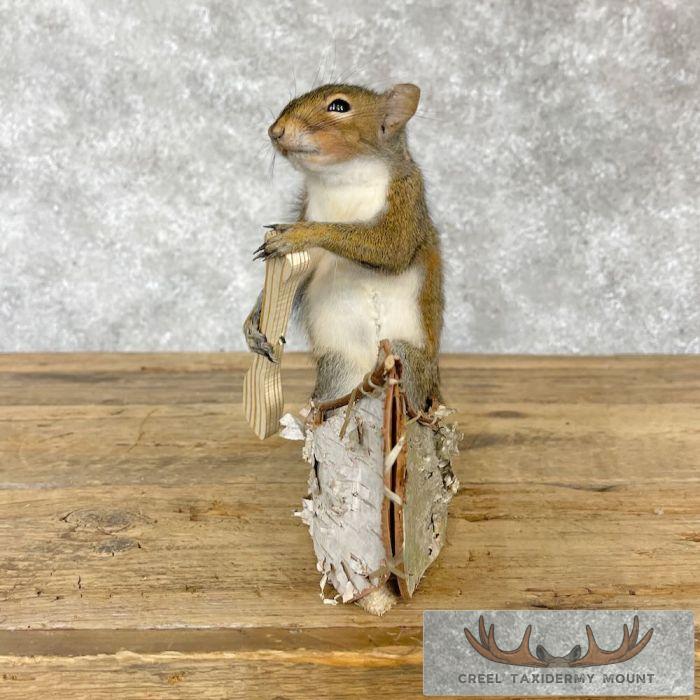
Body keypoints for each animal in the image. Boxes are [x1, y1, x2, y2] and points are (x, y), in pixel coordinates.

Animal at [243, 82, 444, 413]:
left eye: (339, 106)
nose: (276, 131)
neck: (340, 180)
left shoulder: (406, 199)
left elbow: (392, 247)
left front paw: (295, 234)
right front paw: (252, 325)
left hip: (407, 358)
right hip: (337, 366)